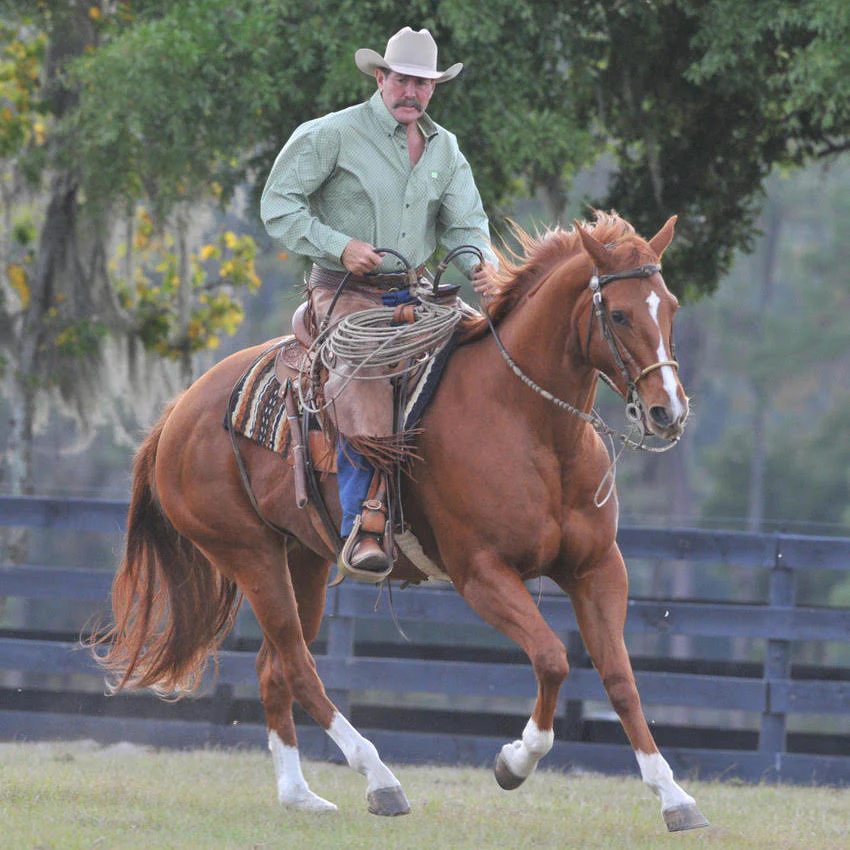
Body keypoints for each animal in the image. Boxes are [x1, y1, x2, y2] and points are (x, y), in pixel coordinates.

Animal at [92, 211, 707, 831]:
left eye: (671, 306)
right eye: (620, 314)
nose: (669, 411)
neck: (529, 424)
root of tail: (177, 413)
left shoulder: (598, 569)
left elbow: (621, 680)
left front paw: (674, 797)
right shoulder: (482, 574)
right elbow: (553, 660)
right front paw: (514, 762)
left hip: (304, 558)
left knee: (275, 667)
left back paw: (300, 795)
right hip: (250, 555)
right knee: (299, 665)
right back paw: (381, 780)